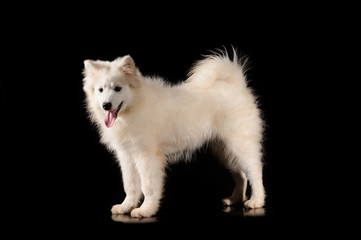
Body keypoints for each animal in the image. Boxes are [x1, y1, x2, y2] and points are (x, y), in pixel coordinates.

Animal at [83, 50, 266, 218]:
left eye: (117, 88)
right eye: (100, 90)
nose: (106, 105)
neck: (135, 105)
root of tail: (237, 85)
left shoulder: (147, 156)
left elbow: (148, 186)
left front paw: (146, 210)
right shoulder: (126, 155)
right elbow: (130, 185)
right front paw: (126, 206)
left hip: (240, 144)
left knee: (254, 171)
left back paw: (256, 200)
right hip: (224, 150)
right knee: (241, 175)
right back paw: (235, 199)